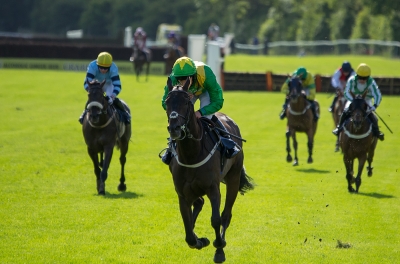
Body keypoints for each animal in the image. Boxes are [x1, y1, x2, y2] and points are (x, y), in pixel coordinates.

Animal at [165, 78, 253, 262]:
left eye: (186, 102)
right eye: (167, 102)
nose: (174, 128)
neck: (192, 154)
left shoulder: (213, 188)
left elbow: (216, 219)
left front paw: (219, 248)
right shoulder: (182, 193)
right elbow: (187, 228)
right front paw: (199, 240)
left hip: (233, 178)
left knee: (226, 214)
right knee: (199, 203)